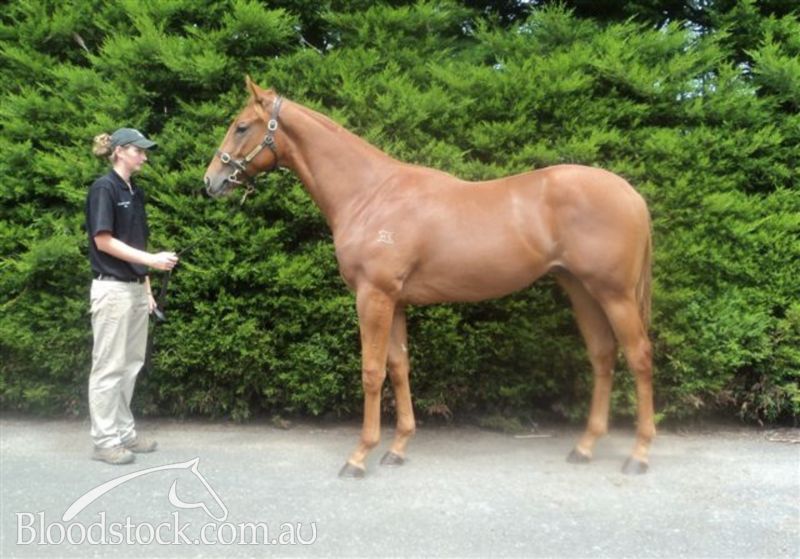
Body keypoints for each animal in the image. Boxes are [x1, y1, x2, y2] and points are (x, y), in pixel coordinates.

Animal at [204, 77, 655, 477]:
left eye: (241, 126)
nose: (210, 181)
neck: (370, 194)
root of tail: (631, 194)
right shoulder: (395, 300)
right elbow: (399, 366)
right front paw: (398, 447)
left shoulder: (373, 296)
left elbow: (372, 372)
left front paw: (360, 455)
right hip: (581, 289)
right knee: (602, 356)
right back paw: (585, 446)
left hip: (614, 294)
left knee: (639, 357)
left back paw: (639, 454)